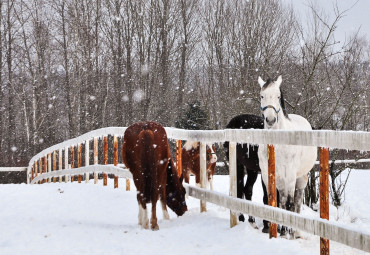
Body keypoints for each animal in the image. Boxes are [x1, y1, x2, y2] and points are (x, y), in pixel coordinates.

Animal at [258, 75, 316, 239]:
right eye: (262, 96)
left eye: (278, 96)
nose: (271, 120)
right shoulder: (268, 175)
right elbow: (275, 202)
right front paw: (279, 230)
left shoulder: (289, 175)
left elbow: (289, 204)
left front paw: (288, 232)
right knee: (284, 201)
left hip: (300, 178)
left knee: (296, 202)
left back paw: (295, 231)